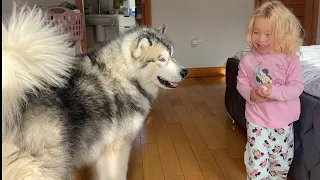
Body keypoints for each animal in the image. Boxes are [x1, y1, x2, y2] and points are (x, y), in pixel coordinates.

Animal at [1, 3, 188, 180]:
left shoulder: (104, 151)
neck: (125, 76)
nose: (185, 72)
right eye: (161, 59)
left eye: (172, 55)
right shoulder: (118, 147)